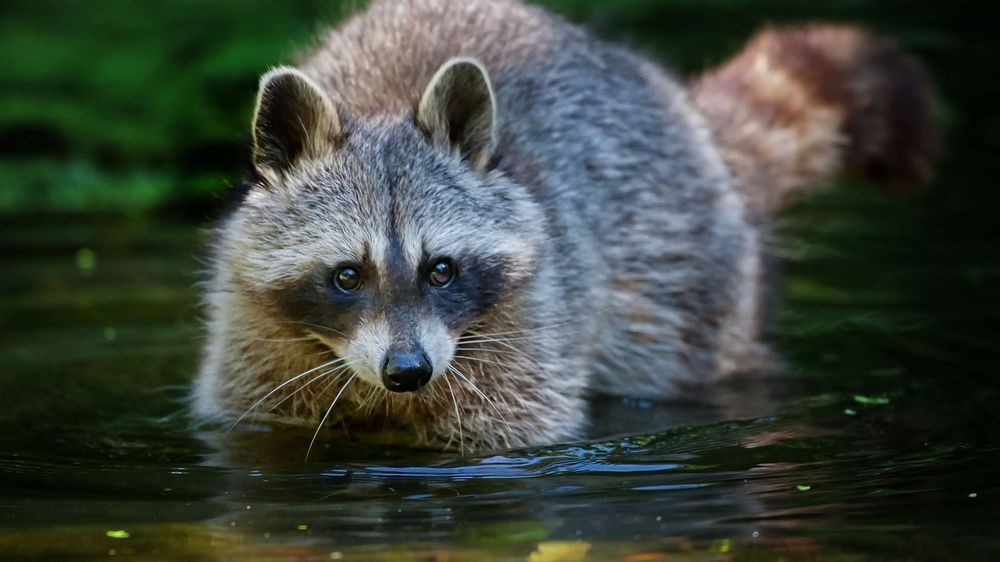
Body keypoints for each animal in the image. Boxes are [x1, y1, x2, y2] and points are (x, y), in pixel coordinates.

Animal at [191, 0, 932, 450]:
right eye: (348, 274)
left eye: (441, 269)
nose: (408, 370)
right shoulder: (254, 340)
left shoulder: (531, 328)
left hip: (687, 265)